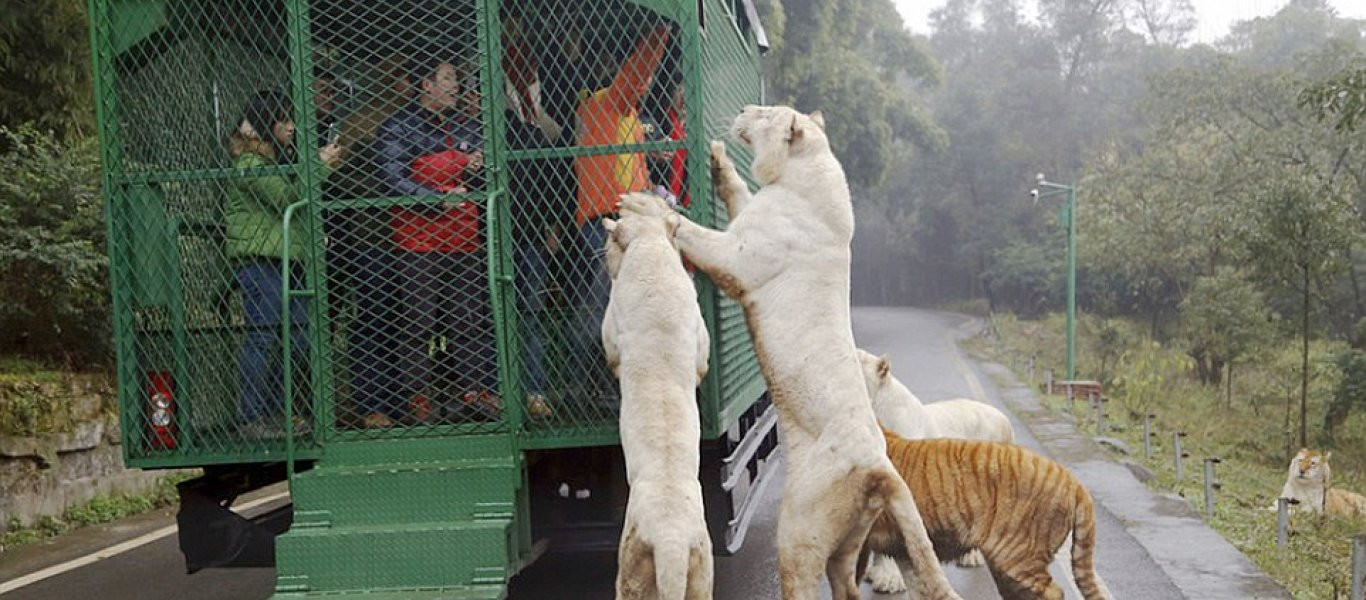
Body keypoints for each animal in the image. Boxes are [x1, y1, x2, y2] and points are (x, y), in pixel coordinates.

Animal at [620, 104, 961, 600]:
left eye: (765, 113)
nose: (745, 109)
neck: (801, 170)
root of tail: (880, 466)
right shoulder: (749, 218)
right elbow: (740, 194)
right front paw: (720, 164)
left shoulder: (739, 255)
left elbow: (694, 232)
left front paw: (646, 208)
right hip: (846, 543)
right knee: (846, 586)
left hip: (799, 532)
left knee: (801, 580)